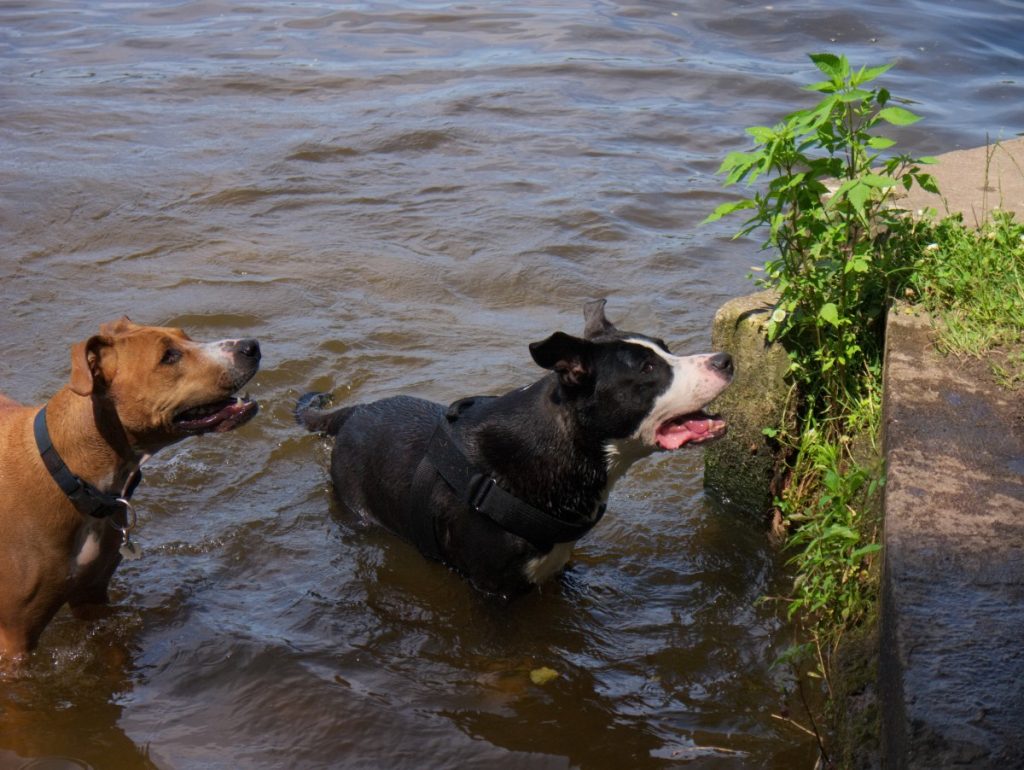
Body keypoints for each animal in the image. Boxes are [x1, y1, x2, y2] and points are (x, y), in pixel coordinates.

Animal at [0, 319, 260, 663]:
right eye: (169, 356)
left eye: (185, 336)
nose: (251, 346)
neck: (72, 475)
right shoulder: (15, 640)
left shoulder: (93, 598)